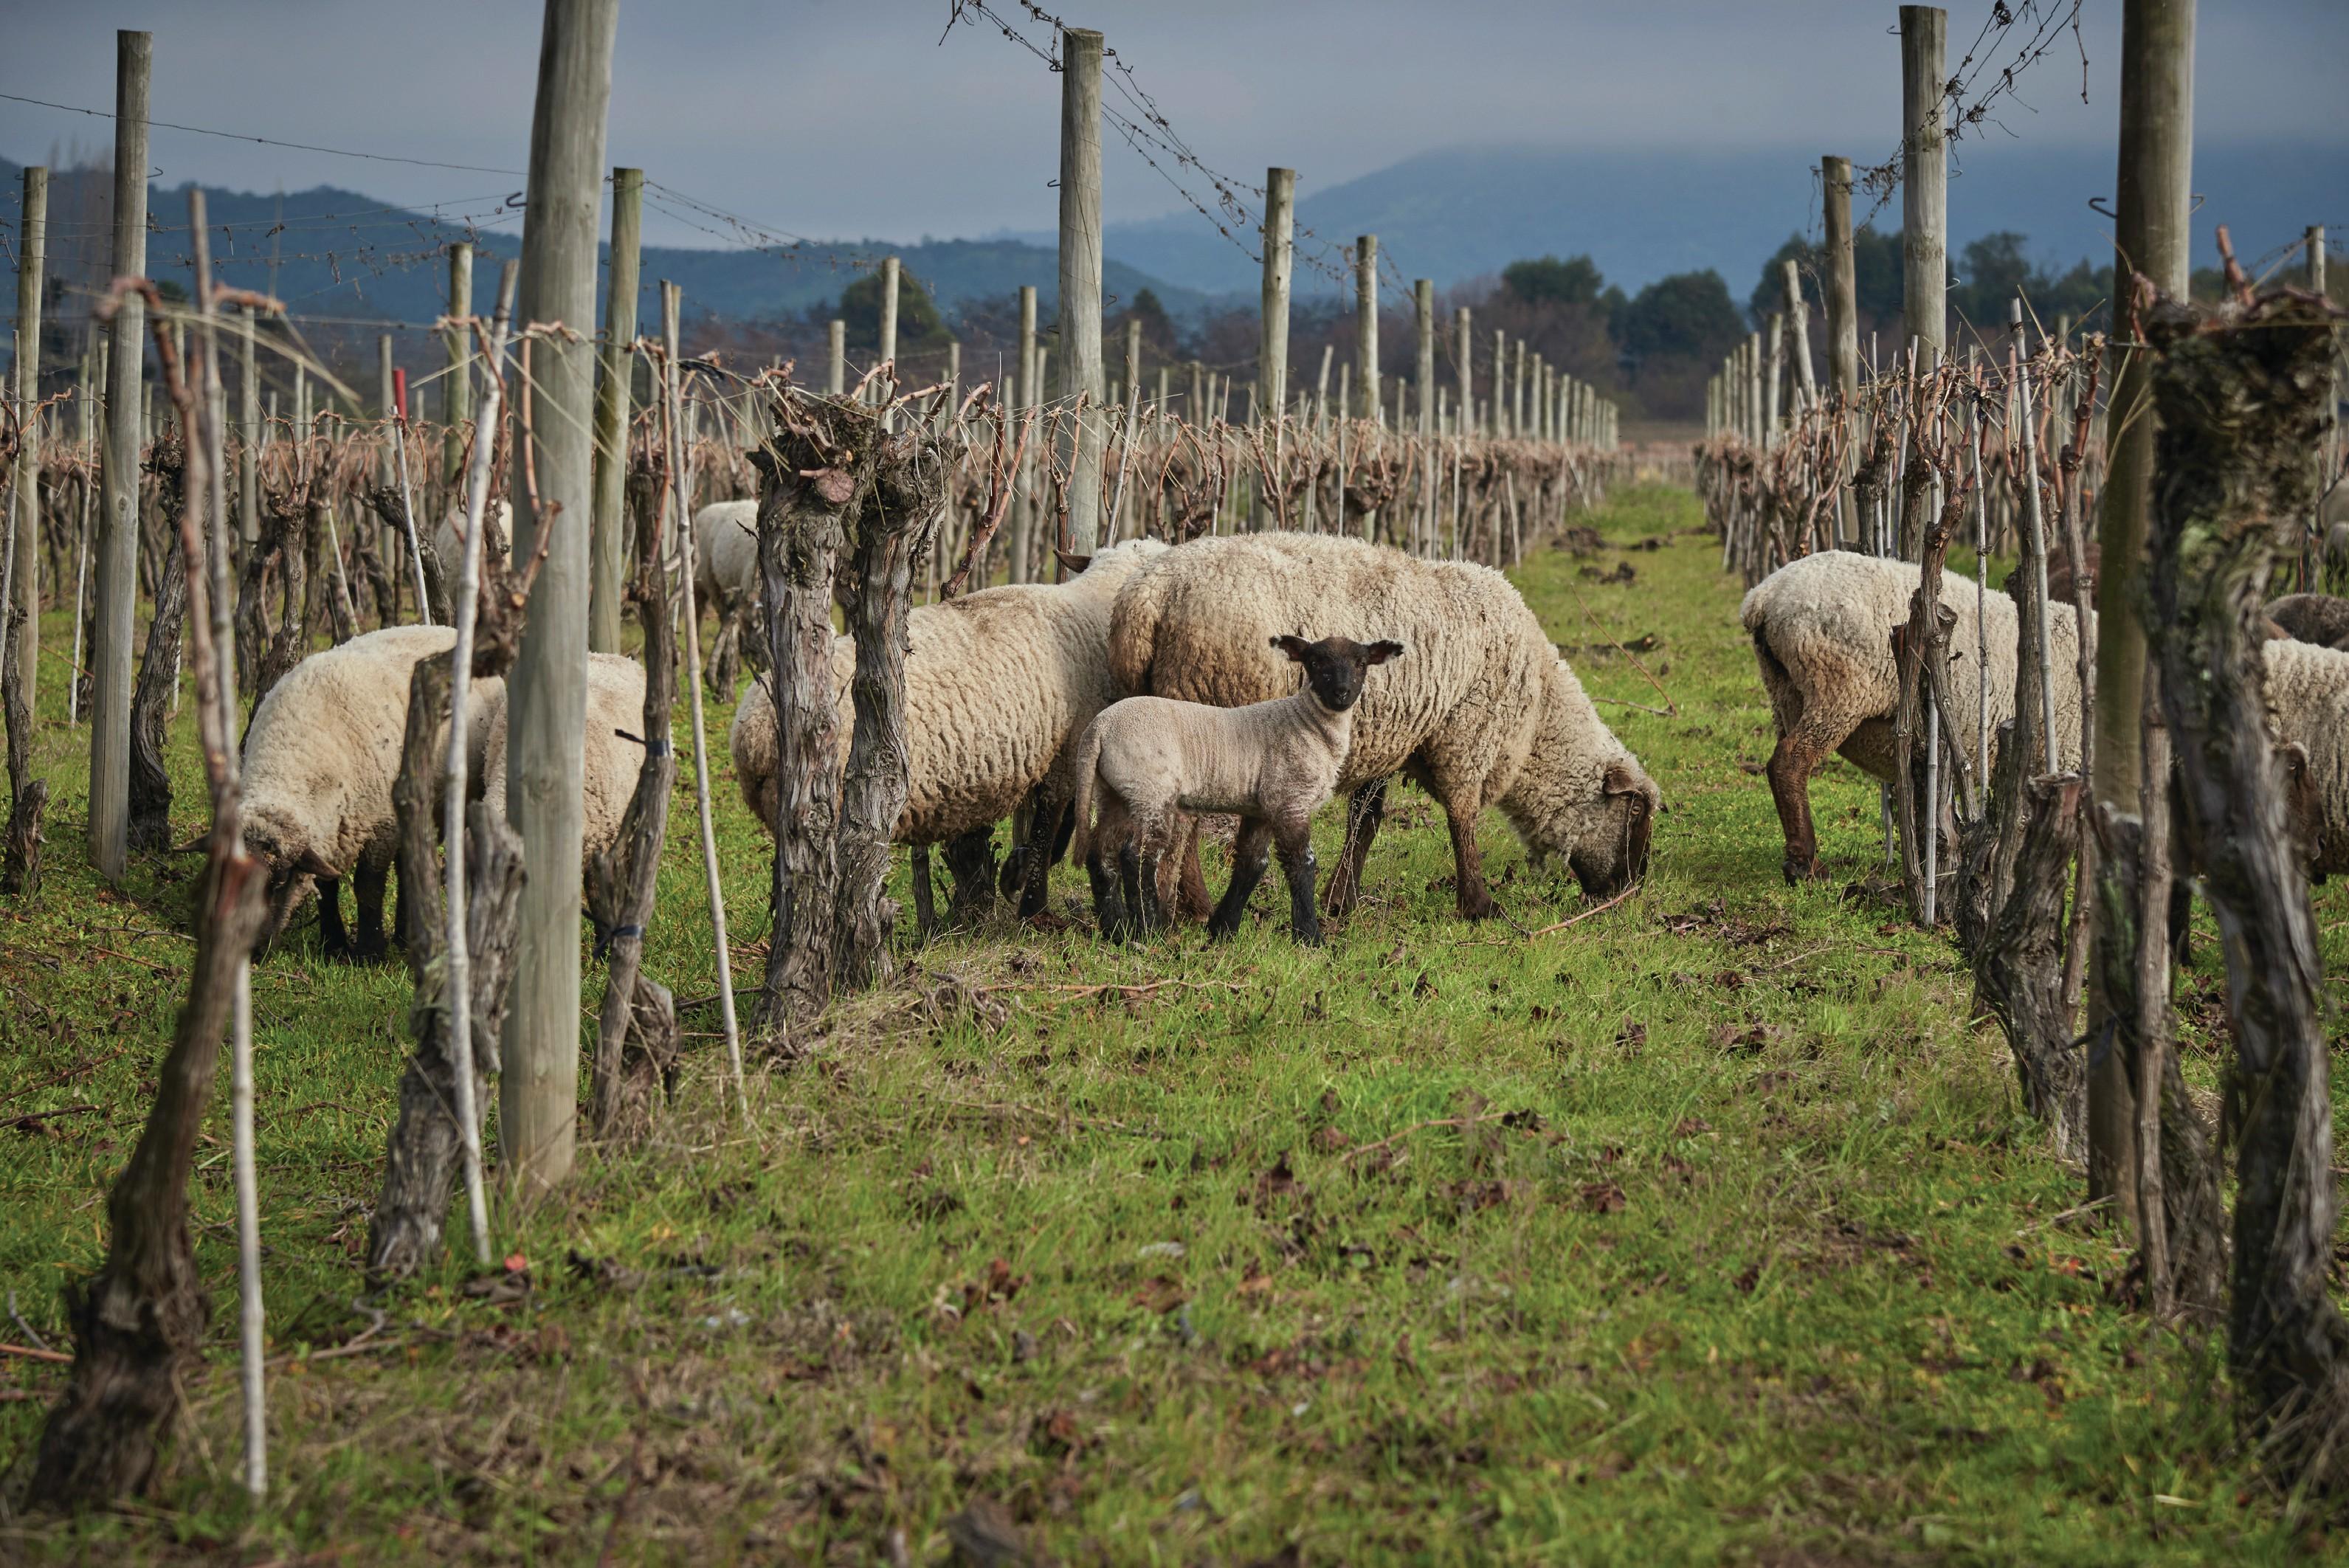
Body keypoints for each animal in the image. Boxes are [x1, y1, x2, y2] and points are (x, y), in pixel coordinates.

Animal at [240, 624, 503, 960]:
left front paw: (370, 952)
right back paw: (404, 936)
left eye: (279, 882)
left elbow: (368, 887)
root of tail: (447, 628)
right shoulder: (330, 832)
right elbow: (327, 887)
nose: (251, 951)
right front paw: (333, 946)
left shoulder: (382, 825)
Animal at [727, 539, 1171, 920]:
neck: (1095, 602)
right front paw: (1032, 903)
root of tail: (755, 733)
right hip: (830, 808)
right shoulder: (1067, 752)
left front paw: (1015, 873)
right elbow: (1051, 831)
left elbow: (1054, 831)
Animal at [1073, 634, 1403, 944]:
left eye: (1362, 663)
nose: (1342, 693)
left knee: (1101, 854)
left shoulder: (1263, 807)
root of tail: (1099, 729)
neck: (1307, 724)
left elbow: (1252, 863)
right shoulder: (1289, 798)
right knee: (1138, 858)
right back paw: (1150, 930)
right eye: (1315, 662)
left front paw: (1223, 929)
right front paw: (1310, 936)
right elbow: (1302, 864)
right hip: (1150, 789)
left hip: (1115, 792)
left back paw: (1116, 930)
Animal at [1106, 531, 1658, 920]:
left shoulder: (1392, 738)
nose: (1630, 890)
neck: (1537, 717)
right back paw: (1179, 908)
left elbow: (1366, 821)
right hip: (1202, 706)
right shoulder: (1466, 735)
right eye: (1634, 814)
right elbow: (1462, 818)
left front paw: (1340, 899)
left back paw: (1185, 904)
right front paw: (1479, 904)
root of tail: (1152, 593)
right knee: (1182, 823)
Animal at [1741, 549, 2087, 883]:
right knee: (1790, 762)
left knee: (1780, 765)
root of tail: (1764, 596)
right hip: (1836, 688)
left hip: (1785, 691)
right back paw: (1807, 866)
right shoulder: (2066, 751)